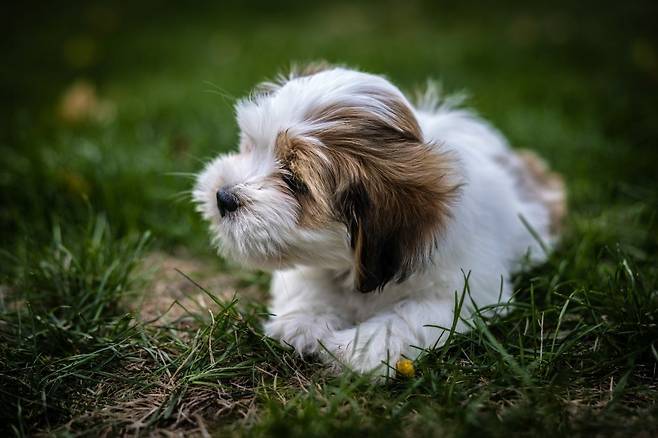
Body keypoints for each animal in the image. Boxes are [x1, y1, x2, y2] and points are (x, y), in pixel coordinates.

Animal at [191, 63, 564, 374]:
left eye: (295, 181)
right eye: (250, 146)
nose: (223, 196)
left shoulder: (467, 290)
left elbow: (412, 316)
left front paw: (357, 349)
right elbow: (309, 281)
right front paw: (303, 322)